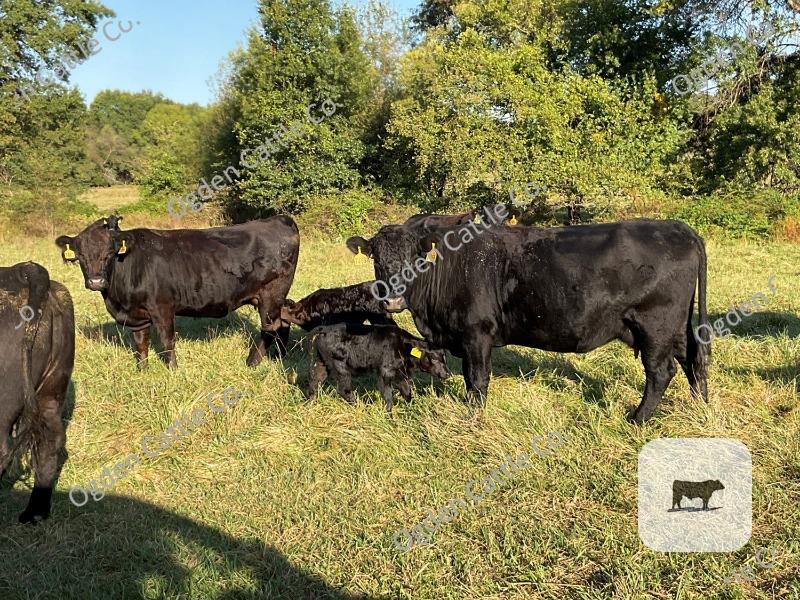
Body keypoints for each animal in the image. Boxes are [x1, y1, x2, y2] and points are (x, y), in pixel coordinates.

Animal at [55, 215, 299, 369]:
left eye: (110, 253)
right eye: (80, 256)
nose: (96, 281)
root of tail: (279, 218)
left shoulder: (162, 307)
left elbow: (167, 341)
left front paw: (172, 370)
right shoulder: (137, 316)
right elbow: (141, 344)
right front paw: (142, 370)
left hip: (271, 295)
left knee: (270, 328)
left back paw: (252, 362)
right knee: (282, 322)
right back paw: (280, 357)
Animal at [307, 323, 450, 414]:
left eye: (444, 358)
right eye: (435, 358)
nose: (447, 374)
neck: (403, 346)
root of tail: (325, 328)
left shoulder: (401, 374)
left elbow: (407, 392)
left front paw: (412, 408)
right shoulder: (385, 373)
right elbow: (388, 396)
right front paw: (389, 416)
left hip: (323, 363)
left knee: (315, 381)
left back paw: (310, 403)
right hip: (341, 366)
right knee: (344, 390)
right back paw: (359, 407)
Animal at [347, 212, 709, 423]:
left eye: (415, 256)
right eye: (376, 258)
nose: (393, 298)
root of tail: (677, 227)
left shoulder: (477, 334)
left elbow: (477, 380)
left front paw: (474, 419)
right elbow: (468, 380)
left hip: (655, 325)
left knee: (661, 371)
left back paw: (637, 418)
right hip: (674, 327)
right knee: (694, 359)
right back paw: (700, 407)